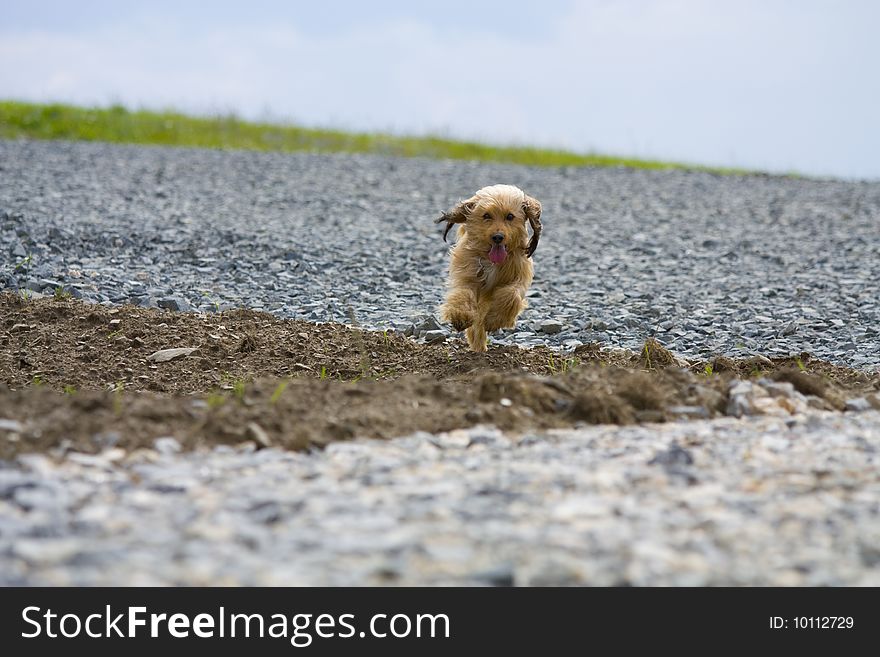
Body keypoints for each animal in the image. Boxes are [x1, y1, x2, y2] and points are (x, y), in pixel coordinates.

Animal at [436, 182, 540, 352]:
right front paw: (460, 317)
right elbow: (463, 293)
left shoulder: (518, 277)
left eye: (510, 216)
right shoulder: (468, 274)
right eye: (486, 216)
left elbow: (511, 295)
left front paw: (493, 321)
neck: (492, 262)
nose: (497, 237)